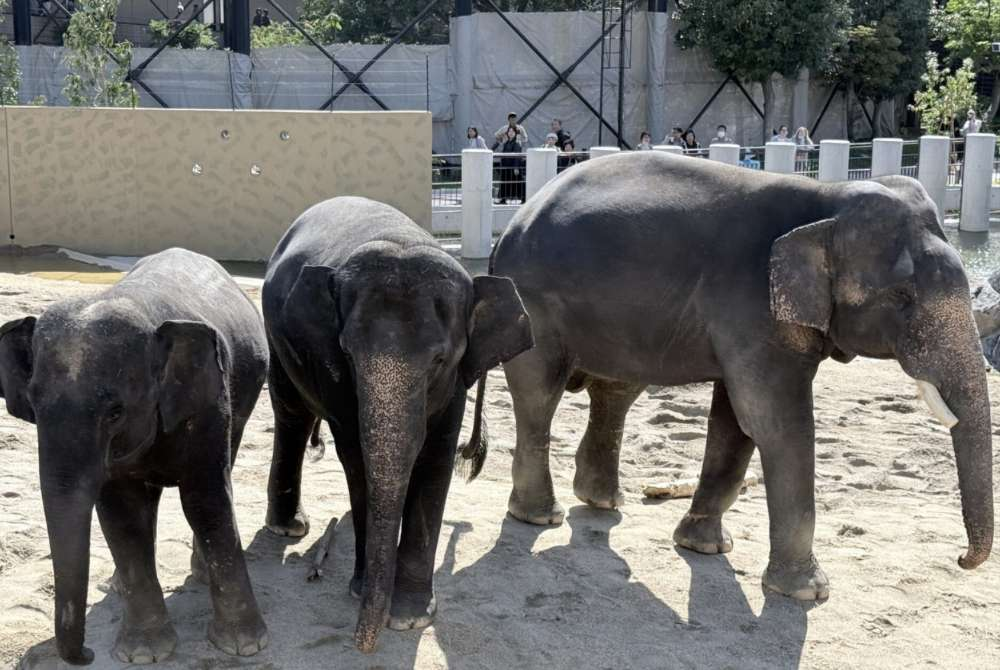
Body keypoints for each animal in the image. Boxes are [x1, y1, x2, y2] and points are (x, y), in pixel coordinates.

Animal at [0, 248, 269, 665]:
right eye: (34, 405)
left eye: (115, 412)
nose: (88, 654)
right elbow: (122, 515)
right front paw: (143, 654)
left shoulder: (210, 402)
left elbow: (205, 500)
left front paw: (244, 646)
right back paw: (115, 585)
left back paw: (199, 576)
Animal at [261, 196, 532, 652]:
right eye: (348, 354)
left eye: (440, 360)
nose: (360, 643)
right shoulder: (332, 369)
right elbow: (355, 458)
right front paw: (362, 592)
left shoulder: (455, 383)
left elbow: (436, 459)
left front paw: (409, 617)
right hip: (275, 337)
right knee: (292, 414)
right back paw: (289, 528)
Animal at [478, 152, 993, 602]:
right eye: (902, 297)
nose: (962, 560)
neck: (825, 199)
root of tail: (509, 228)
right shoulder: (749, 305)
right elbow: (775, 421)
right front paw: (807, 592)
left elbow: (737, 420)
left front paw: (704, 546)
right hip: (535, 300)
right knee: (540, 393)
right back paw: (540, 517)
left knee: (617, 389)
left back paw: (602, 501)